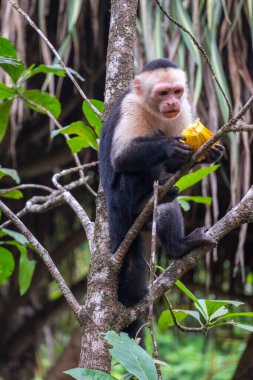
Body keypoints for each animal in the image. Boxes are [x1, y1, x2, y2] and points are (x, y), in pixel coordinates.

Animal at [99, 58, 223, 342]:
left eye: (177, 92)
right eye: (163, 93)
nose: (172, 103)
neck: (153, 110)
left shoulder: (183, 110)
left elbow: (181, 161)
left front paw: (210, 152)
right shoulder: (131, 107)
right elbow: (121, 157)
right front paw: (168, 147)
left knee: (166, 208)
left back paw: (179, 245)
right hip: (119, 199)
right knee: (137, 169)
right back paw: (141, 202)